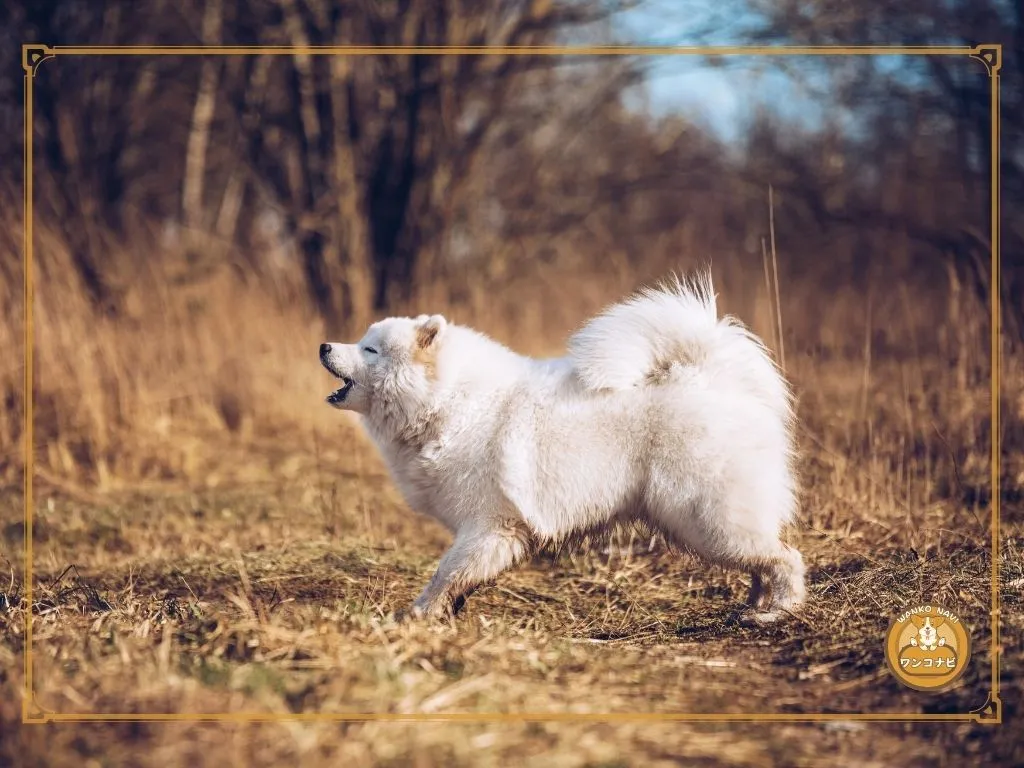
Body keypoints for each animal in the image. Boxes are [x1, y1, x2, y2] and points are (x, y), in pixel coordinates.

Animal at [323, 274, 802, 626]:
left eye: (370, 349)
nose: (325, 345)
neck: (447, 401)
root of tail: (715, 378)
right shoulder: (492, 532)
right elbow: (460, 578)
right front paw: (444, 613)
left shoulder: (490, 524)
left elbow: (447, 572)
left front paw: (417, 614)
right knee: (762, 562)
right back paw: (753, 605)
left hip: (706, 517)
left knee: (785, 558)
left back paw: (776, 611)